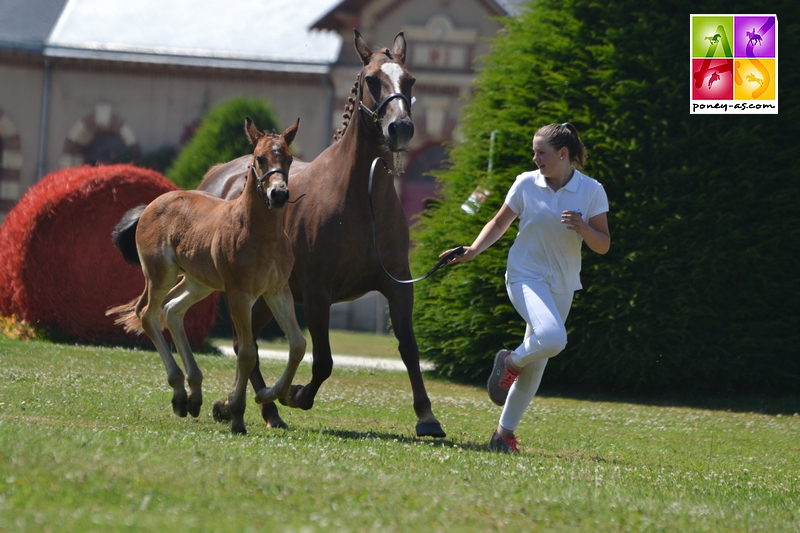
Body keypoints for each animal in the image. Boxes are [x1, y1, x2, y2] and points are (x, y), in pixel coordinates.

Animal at [108, 118, 304, 434]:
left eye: (288, 158)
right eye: (259, 158)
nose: (279, 194)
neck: (260, 233)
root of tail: (152, 204)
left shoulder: (277, 290)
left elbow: (298, 345)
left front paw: (269, 394)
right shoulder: (238, 293)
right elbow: (247, 352)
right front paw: (236, 414)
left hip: (198, 282)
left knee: (172, 309)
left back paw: (193, 395)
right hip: (161, 273)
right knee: (146, 312)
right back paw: (179, 392)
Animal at [195, 30, 444, 436]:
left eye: (409, 80)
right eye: (372, 79)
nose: (401, 128)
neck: (361, 200)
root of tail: (219, 176)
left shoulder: (397, 286)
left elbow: (409, 349)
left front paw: (427, 417)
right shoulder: (316, 293)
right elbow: (324, 360)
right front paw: (296, 395)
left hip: (265, 296)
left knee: (245, 343)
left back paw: (248, 407)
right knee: (244, 344)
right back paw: (262, 405)